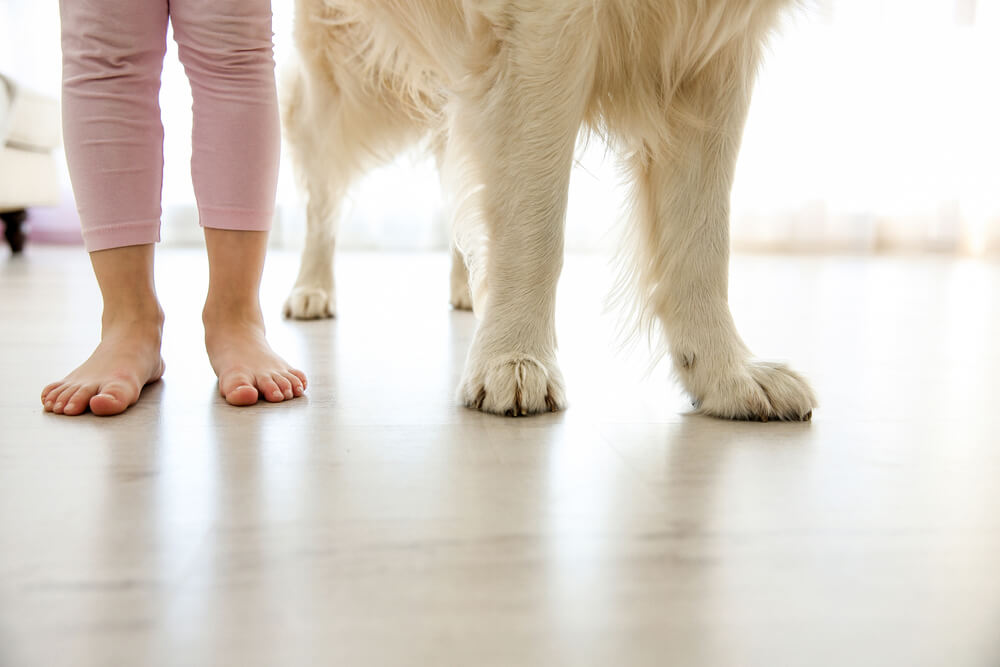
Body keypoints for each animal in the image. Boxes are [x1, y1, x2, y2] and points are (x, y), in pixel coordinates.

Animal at [286, 0, 816, 422]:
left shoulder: (713, 46)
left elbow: (702, 242)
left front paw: (726, 373)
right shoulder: (543, 26)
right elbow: (533, 222)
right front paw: (513, 356)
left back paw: (466, 289)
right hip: (342, 83)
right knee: (320, 194)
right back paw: (311, 288)